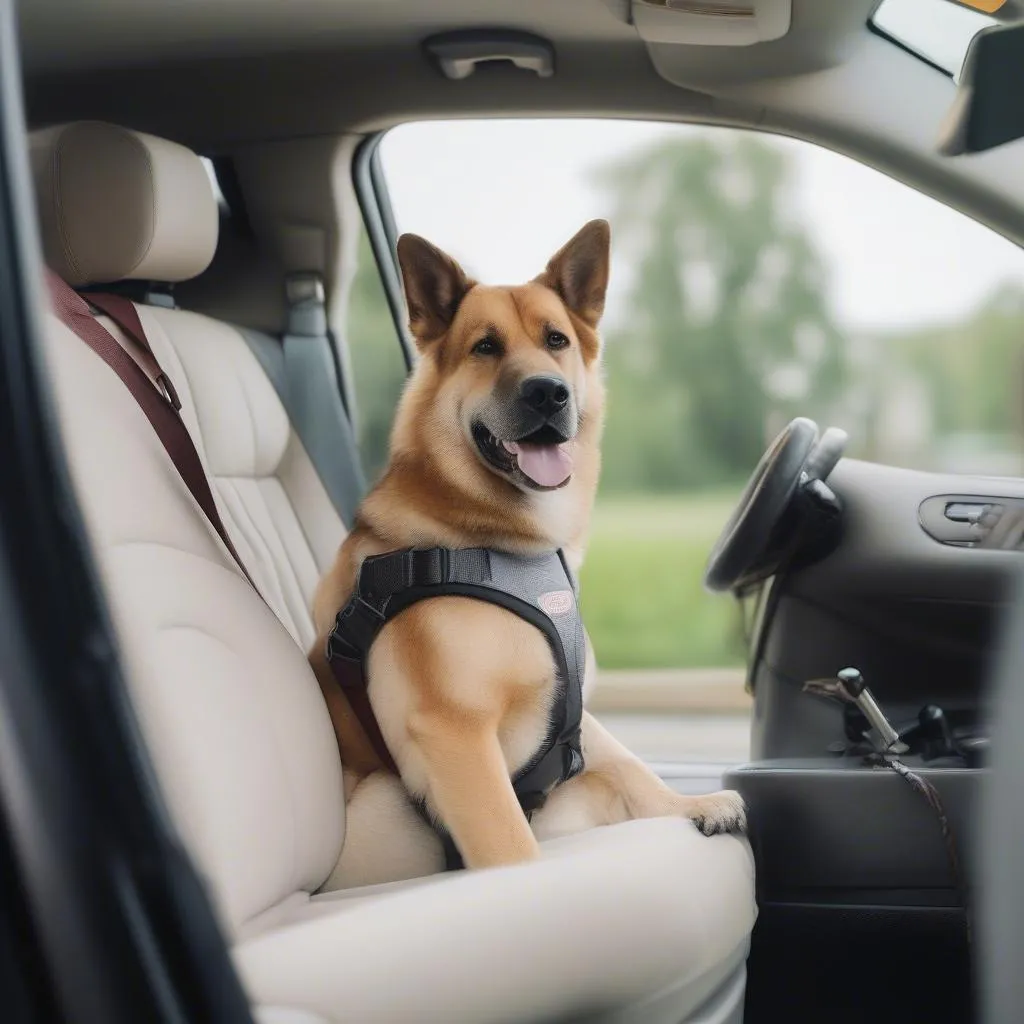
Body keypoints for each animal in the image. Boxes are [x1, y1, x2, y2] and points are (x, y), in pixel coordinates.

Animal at [307, 218, 749, 888]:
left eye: (556, 340)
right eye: (485, 347)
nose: (548, 393)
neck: (502, 541)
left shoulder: (574, 714)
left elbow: (625, 761)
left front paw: (684, 803)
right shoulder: (454, 732)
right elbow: (508, 841)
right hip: (385, 805)